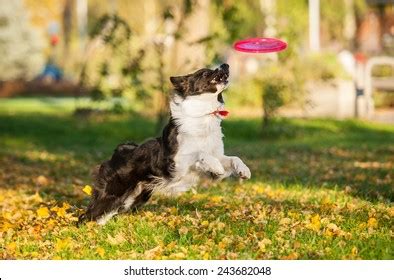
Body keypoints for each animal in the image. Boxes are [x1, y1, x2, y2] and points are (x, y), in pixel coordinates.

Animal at [78, 64, 251, 225]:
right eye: (204, 73)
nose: (225, 65)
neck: (203, 116)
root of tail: (119, 151)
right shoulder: (175, 163)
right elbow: (199, 153)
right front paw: (216, 166)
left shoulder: (215, 159)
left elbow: (232, 158)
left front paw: (243, 170)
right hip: (113, 192)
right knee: (87, 216)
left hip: (134, 197)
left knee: (106, 214)